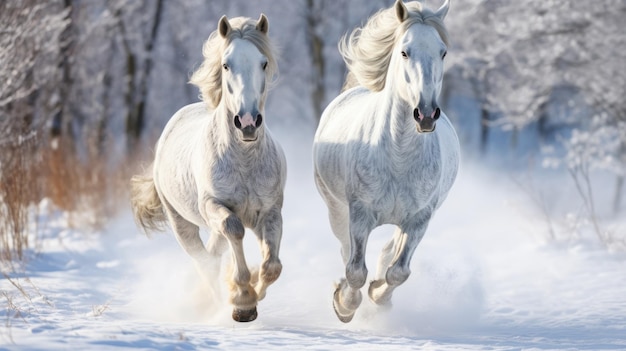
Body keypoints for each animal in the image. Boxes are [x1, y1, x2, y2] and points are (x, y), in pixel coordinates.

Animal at [130, 14, 286, 324]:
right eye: (226, 64)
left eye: (263, 63)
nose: (248, 123)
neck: (244, 161)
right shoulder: (215, 206)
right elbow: (234, 230)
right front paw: (243, 300)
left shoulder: (271, 213)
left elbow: (272, 267)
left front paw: (253, 292)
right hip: (182, 224)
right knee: (204, 261)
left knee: (214, 254)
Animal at [312, 0, 458, 324]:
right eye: (404, 51)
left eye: (442, 52)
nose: (426, 114)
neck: (399, 157)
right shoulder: (360, 213)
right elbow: (355, 271)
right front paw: (344, 306)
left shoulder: (419, 218)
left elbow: (399, 271)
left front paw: (380, 296)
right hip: (336, 209)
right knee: (346, 251)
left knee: (389, 250)